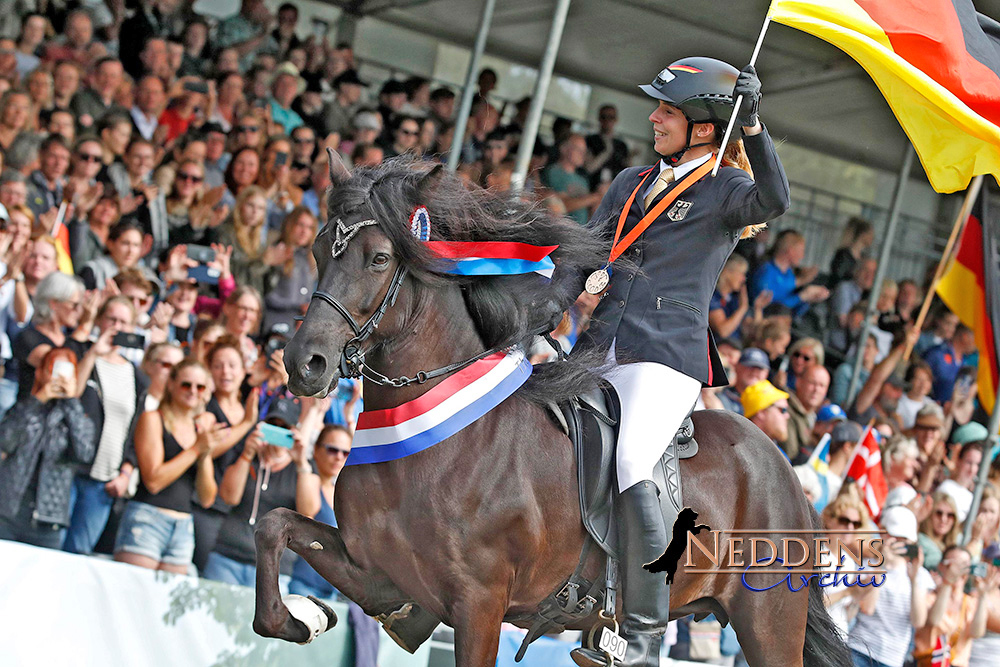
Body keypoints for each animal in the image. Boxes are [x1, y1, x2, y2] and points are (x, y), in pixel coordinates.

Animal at [254, 155, 848, 667]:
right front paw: (304, 616)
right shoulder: (380, 575)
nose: (304, 363)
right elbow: (274, 527)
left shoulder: (479, 605)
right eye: (317, 249)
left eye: (379, 259)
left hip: (768, 621)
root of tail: (783, 467)